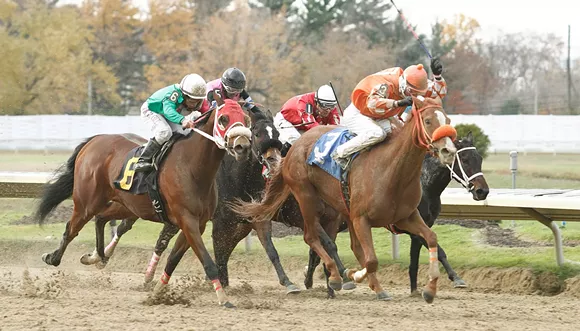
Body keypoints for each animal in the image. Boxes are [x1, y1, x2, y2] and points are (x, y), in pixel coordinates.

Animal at [34, 99, 251, 308]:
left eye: (246, 119)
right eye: (223, 119)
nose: (242, 146)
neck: (192, 167)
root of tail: (95, 140)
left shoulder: (198, 223)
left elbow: (173, 259)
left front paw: (157, 293)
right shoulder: (187, 220)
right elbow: (208, 262)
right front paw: (224, 299)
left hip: (127, 205)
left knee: (101, 218)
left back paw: (97, 257)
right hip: (87, 201)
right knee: (71, 229)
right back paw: (53, 257)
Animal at [230, 98, 458, 304]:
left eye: (448, 120)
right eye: (428, 121)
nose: (448, 150)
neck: (392, 170)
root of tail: (293, 150)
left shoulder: (405, 217)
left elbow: (432, 239)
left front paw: (430, 289)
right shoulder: (360, 218)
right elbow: (369, 259)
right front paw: (350, 275)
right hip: (305, 197)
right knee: (307, 238)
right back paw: (328, 277)